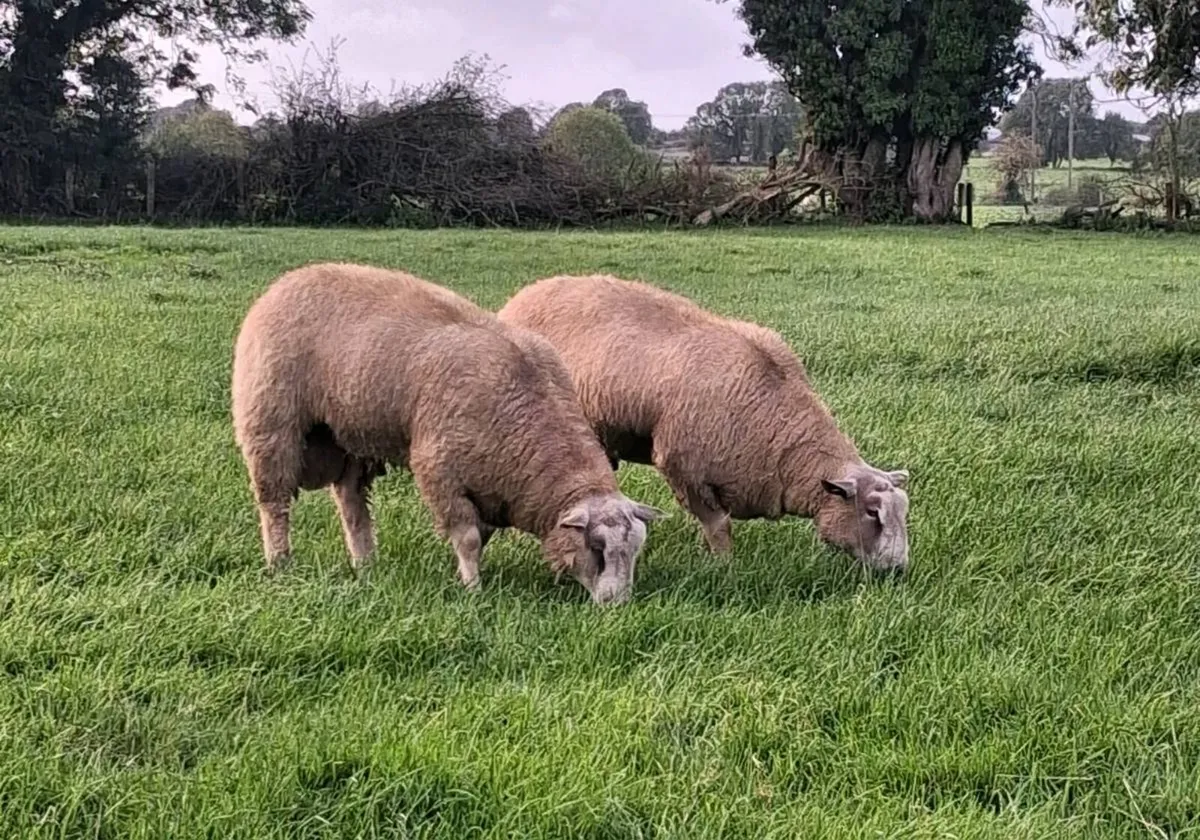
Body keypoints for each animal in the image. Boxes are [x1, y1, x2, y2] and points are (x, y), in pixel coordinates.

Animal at [230, 263, 664, 604]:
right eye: (597, 548)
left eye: (636, 551)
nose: (617, 606)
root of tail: (289, 280)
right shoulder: (440, 470)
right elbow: (468, 537)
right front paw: (473, 589)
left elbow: (479, 536)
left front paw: (469, 574)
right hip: (271, 422)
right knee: (274, 501)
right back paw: (280, 562)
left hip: (349, 438)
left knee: (351, 502)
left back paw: (365, 563)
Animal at [496, 274, 910, 572]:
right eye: (872, 512)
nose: (898, 569)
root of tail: (524, 295)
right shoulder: (684, 466)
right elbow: (718, 525)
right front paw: (725, 566)